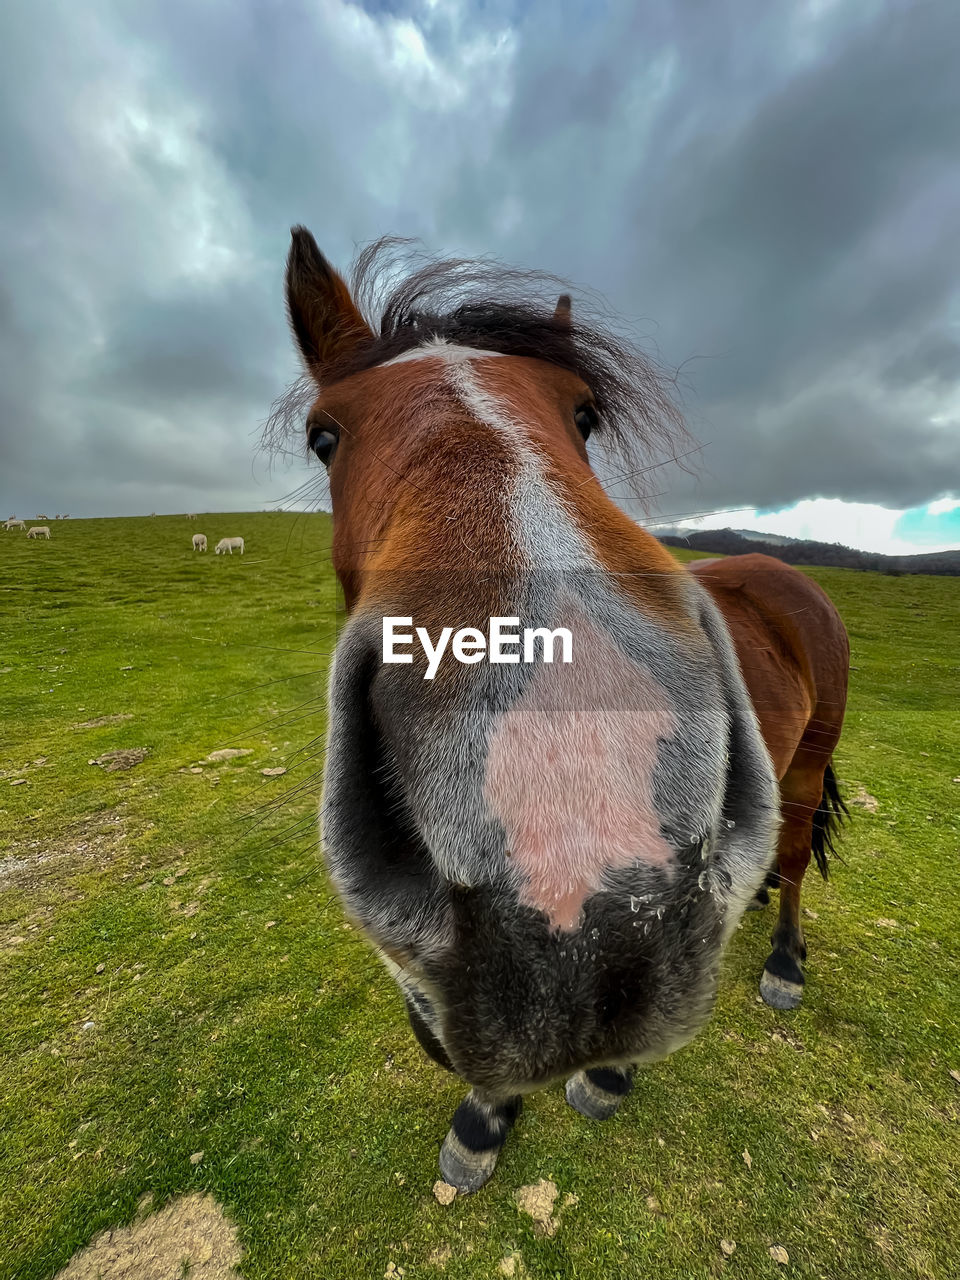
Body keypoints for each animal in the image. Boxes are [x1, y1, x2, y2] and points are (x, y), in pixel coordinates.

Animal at [276, 227, 849, 1187]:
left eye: (583, 416)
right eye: (326, 435)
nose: (578, 777)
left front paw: (606, 1075)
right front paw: (485, 1119)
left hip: (805, 768)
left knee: (800, 856)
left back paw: (784, 960)